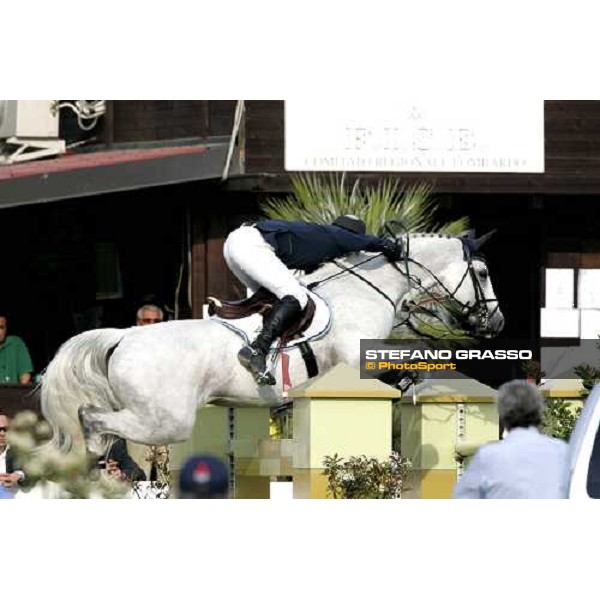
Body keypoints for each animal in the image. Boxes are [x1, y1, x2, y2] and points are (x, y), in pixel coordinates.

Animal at [39, 233, 504, 454]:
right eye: (482, 273)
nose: (497, 322)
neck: (368, 286)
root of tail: (124, 336)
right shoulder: (357, 359)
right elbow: (405, 364)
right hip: (166, 420)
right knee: (94, 419)